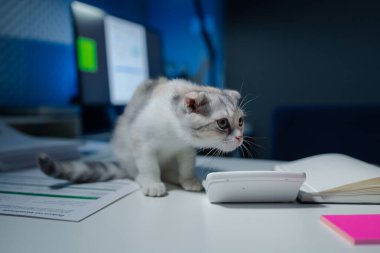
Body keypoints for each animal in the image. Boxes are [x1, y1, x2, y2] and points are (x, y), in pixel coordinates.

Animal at [37, 78, 245, 197]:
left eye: (240, 121)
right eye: (222, 123)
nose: (240, 138)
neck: (174, 134)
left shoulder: (185, 149)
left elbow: (186, 165)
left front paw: (188, 179)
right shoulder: (141, 143)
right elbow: (149, 166)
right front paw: (152, 182)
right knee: (140, 171)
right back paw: (144, 178)